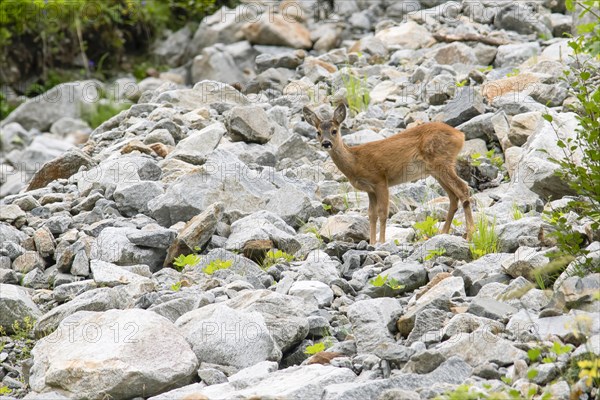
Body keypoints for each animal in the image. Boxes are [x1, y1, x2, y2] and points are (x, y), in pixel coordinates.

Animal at [302, 103, 476, 245]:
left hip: (442, 162)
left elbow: (382, 213)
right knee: (453, 197)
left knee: (463, 188)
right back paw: (443, 233)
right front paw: (372, 243)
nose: (326, 143)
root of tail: (460, 135)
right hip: (437, 170)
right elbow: (371, 214)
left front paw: (382, 242)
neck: (356, 161)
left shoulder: (380, 180)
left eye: (334, 131)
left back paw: (470, 235)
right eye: (317, 132)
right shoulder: (370, 189)